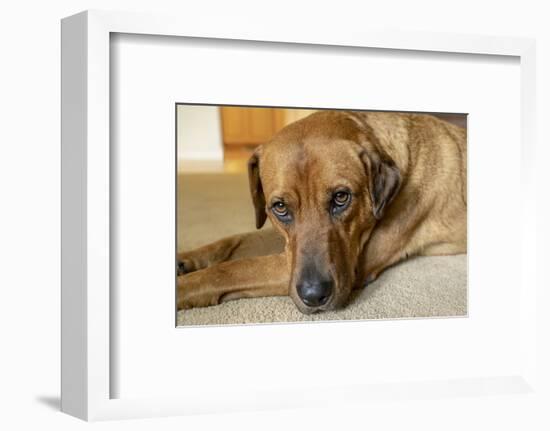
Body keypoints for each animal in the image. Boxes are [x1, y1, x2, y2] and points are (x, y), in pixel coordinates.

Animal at [176, 109, 466, 316]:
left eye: (341, 197)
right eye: (280, 207)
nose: (314, 296)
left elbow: (230, 270)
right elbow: (234, 240)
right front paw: (185, 259)